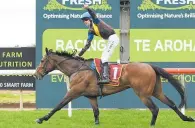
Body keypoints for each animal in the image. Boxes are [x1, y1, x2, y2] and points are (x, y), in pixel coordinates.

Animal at [32, 48, 194, 127]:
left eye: (42, 60)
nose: (36, 74)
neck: (77, 69)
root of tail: (149, 66)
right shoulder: (91, 96)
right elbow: (96, 112)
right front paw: (97, 124)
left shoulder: (74, 91)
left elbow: (58, 106)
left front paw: (42, 119)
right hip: (156, 91)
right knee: (171, 103)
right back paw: (187, 118)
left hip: (142, 93)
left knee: (155, 109)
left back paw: (152, 125)